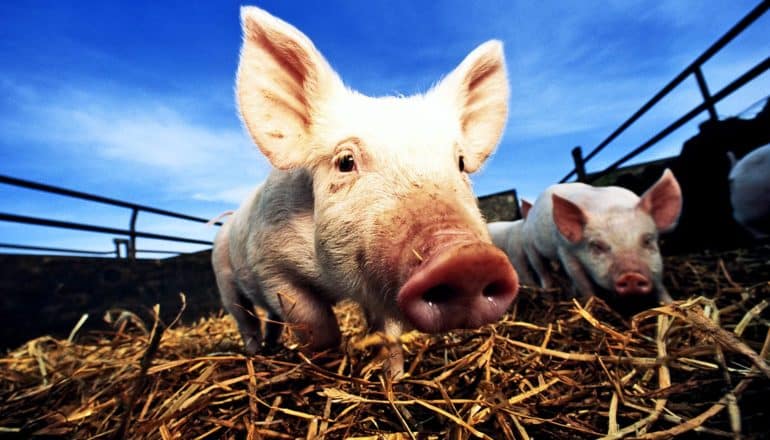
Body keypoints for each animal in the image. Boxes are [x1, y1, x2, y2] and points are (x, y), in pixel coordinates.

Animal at [213, 6, 520, 376]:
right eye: (346, 161)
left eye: (460, 162)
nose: (468, 258)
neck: (335, 284)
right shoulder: (271, 265)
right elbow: (317, 326)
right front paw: (329, 360)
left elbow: (389, 333)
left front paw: (395, 377)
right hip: (224, 278)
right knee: (245, 318)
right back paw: (257, 354)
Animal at [520, 170, 680, 304]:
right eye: (597, 246)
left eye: (647, 240)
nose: (631, 276)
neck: (610, 206)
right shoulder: (564, 249)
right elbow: (583, 282)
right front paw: (593, 305)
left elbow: (659, 283)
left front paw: (671, 304)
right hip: (529, 246)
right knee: (542, 272)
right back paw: (549, 298)